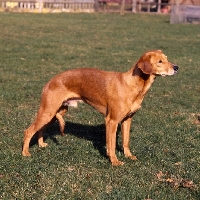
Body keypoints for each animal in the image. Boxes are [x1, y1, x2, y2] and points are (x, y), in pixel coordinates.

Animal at [21, 49, 178, 166]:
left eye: (166, 58)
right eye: (160, 61)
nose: (176, 67)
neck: (132, 85)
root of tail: (50, 81)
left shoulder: (127, 120)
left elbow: (125, 141)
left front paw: (129, 156)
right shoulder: (111, 121)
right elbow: (112, 144)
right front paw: (114, 161)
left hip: (55, 114)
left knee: (40, 129)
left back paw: (41, 144)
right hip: (48, 112)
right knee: (28, 131)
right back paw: (25, 153)